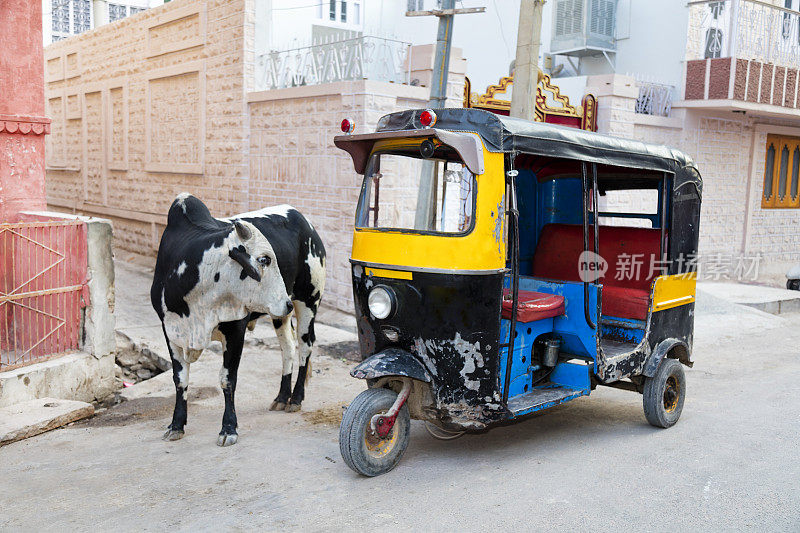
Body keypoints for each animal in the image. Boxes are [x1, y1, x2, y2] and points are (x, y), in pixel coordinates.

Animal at [150, 192, 324, 444]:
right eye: (264, 259)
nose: (286, 303)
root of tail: (304, 220)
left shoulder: (235, 330)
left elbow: (227, 379)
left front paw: (228, 428)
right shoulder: (171, 330)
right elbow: (180, 378)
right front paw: (176, 425)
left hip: (308, 300)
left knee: (305, 346)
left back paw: (296, 398)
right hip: (281, 316)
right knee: (288, 348)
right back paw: (282, 397)